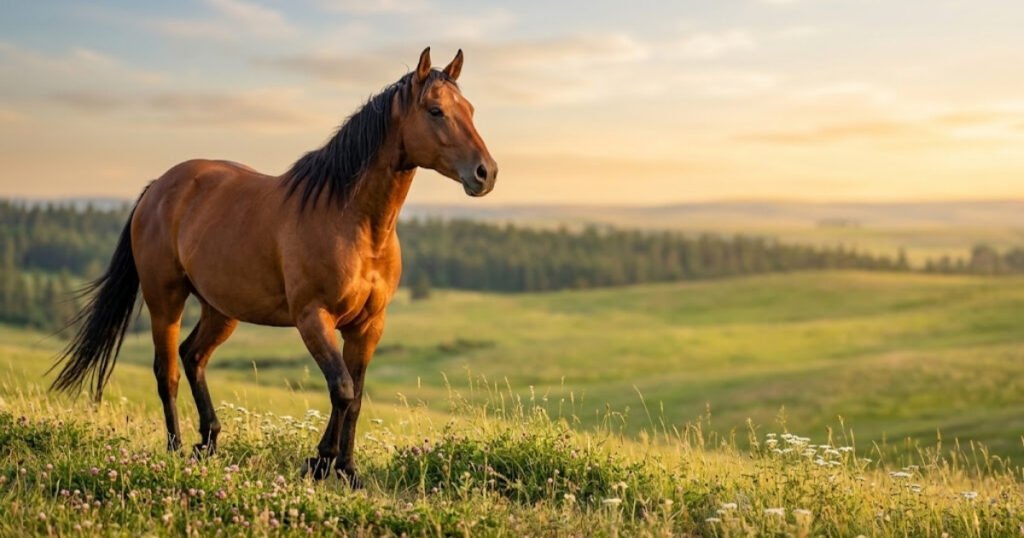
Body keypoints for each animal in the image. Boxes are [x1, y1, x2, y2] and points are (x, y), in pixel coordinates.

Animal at [49, 47, 497, 485]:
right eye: (436, 111)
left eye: (471, 109)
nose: (486, 173)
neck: (353, 220)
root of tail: (158, 187)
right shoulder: (313, 317)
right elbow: (341, 388)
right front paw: (321, 462)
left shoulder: (368, 325)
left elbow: (356, 396)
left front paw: (347, 470)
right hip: (165, 300)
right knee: (167, 371)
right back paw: (175, 450)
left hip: (221, 309)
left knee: (193, 356)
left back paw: (208, 442)